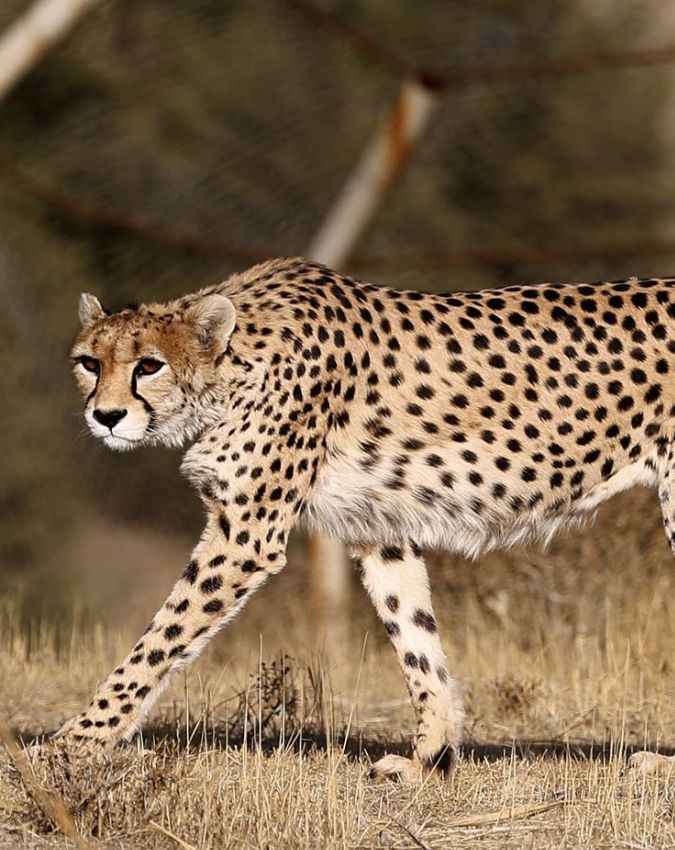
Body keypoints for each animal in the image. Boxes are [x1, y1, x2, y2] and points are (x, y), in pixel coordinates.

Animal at [60, 256, 675, 782]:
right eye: (90, 363)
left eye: (149, 365)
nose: (106, 416)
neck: (231, 368)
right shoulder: (381, 530)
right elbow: (416, 641)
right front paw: (429, 759)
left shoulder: (246, 536)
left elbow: (158, 641)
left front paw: (75, 742)